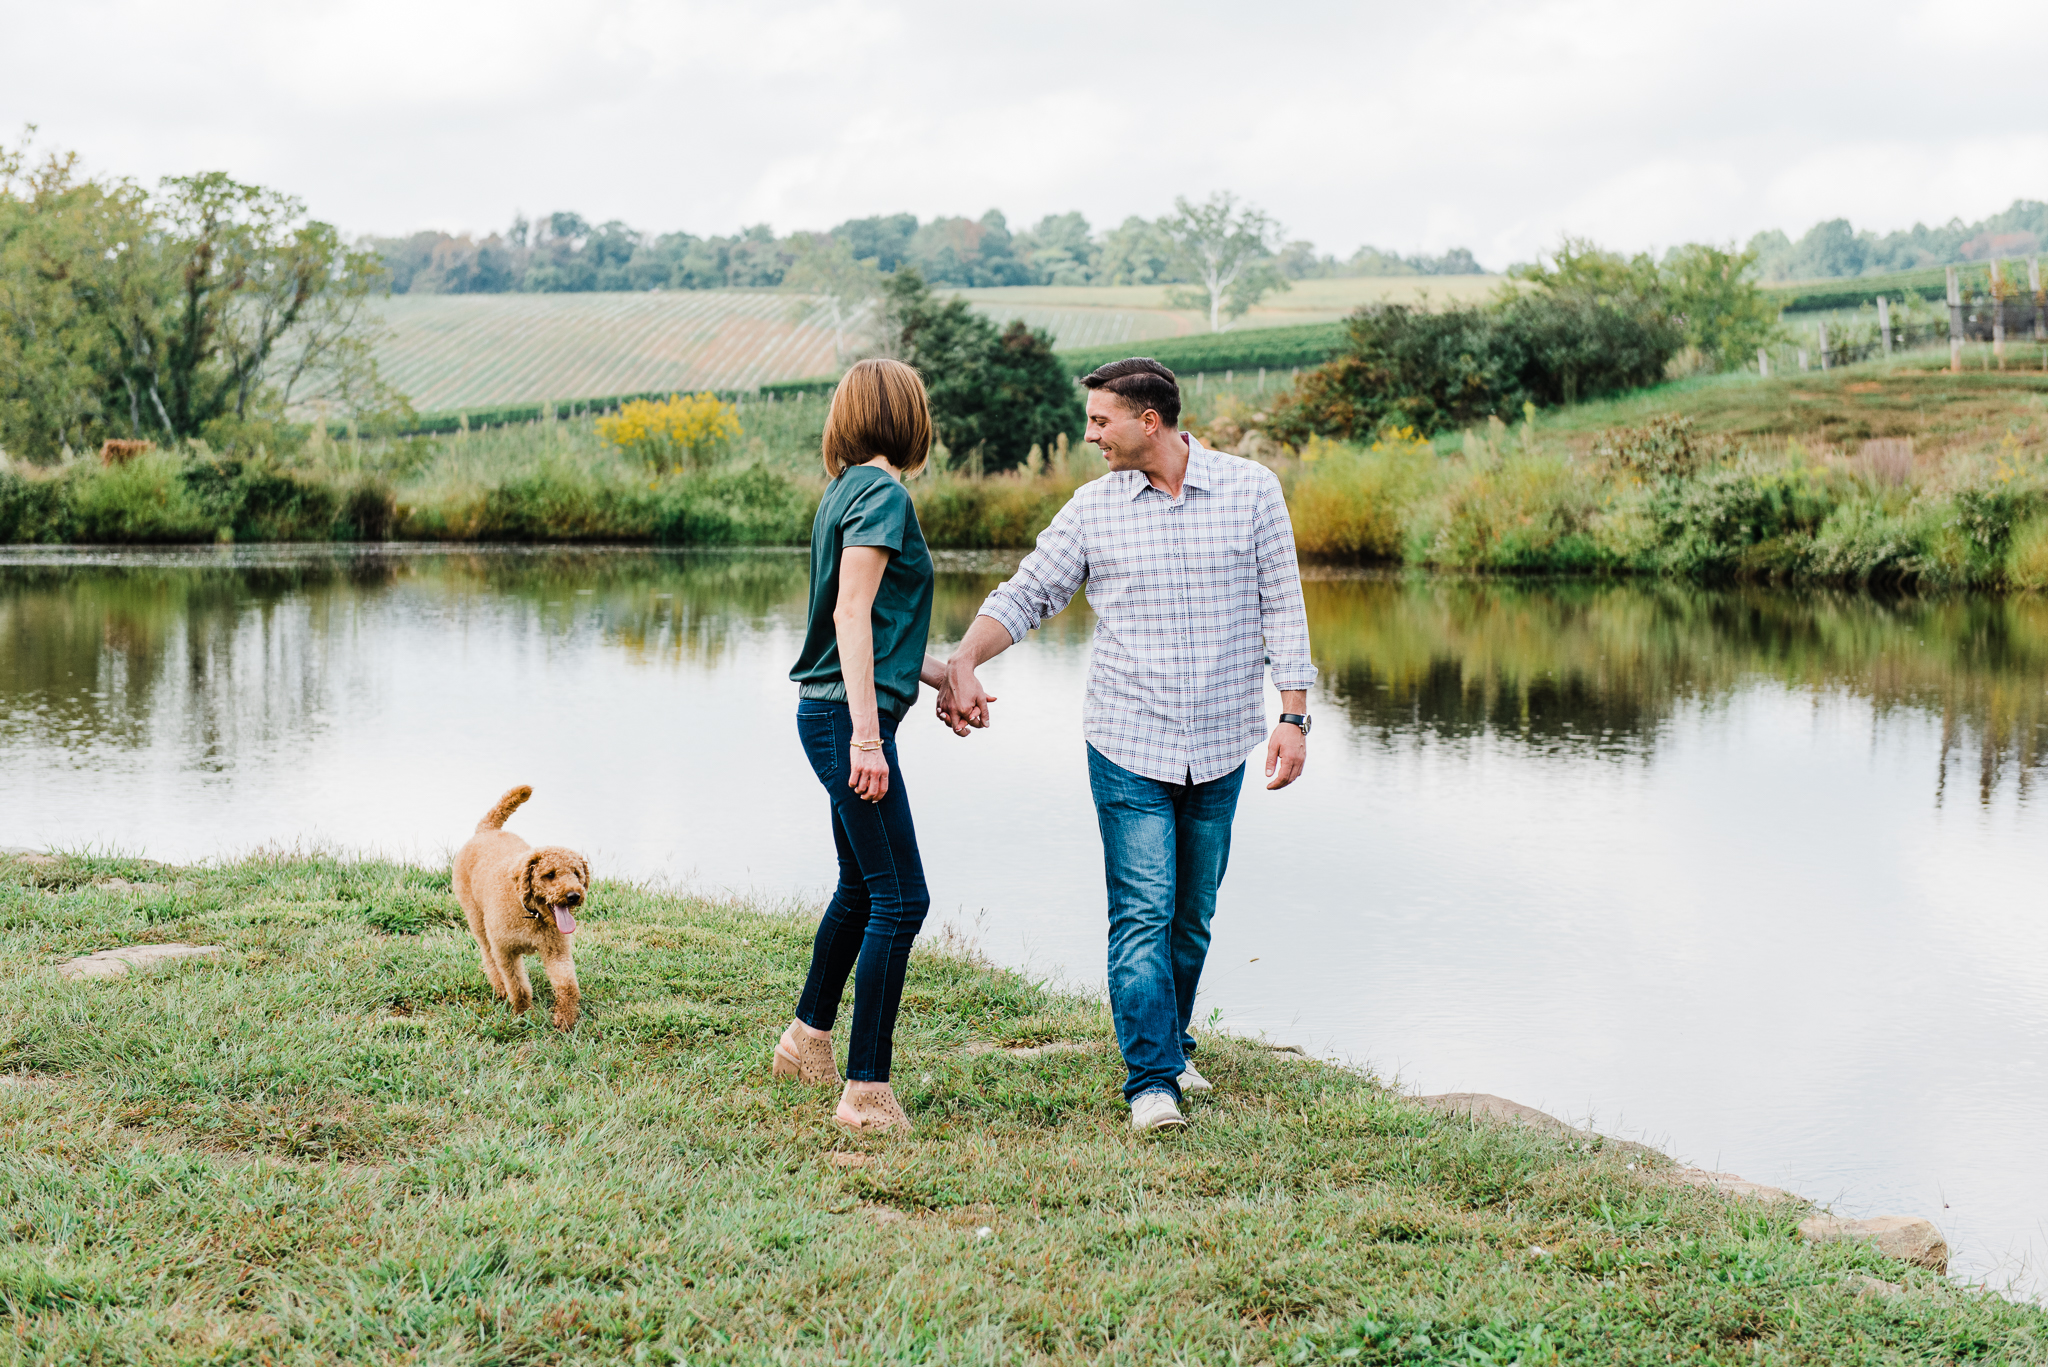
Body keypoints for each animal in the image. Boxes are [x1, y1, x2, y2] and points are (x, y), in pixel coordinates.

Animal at [456, 791, 593, 1024]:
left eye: (576, 873)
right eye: (549, 874)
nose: (574, 896)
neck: (531, 914)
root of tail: (487, 830)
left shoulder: (556, 950)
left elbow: (566, 984)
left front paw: (565, 1017)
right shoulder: (505, 951)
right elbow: (517, 984)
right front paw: (522, 1012)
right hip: (477, 921)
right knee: (488, 956)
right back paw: (500, 988)